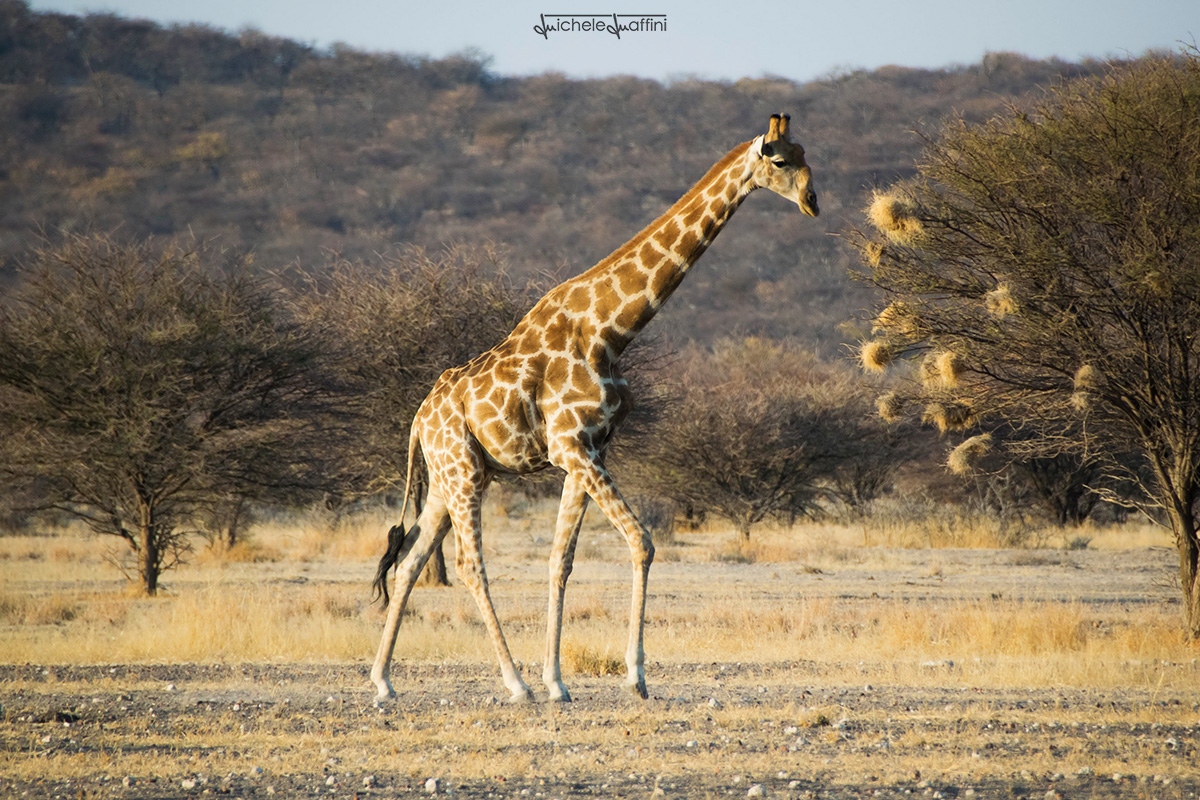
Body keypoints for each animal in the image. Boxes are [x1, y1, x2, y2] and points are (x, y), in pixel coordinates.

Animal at [370, 113, 819, 703]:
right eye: (781, 160)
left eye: (808, 154)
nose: (814, 200)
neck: (610, 330)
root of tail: (419, 420)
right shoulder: (572, 448)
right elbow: (642, 542)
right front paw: (635, 676)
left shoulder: (588, 451)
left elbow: (561, 560)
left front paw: (558, 681)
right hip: (463, 473)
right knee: (467, 565)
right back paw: (514, 684)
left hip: (450, 480)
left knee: (409, 562)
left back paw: (383, 682)